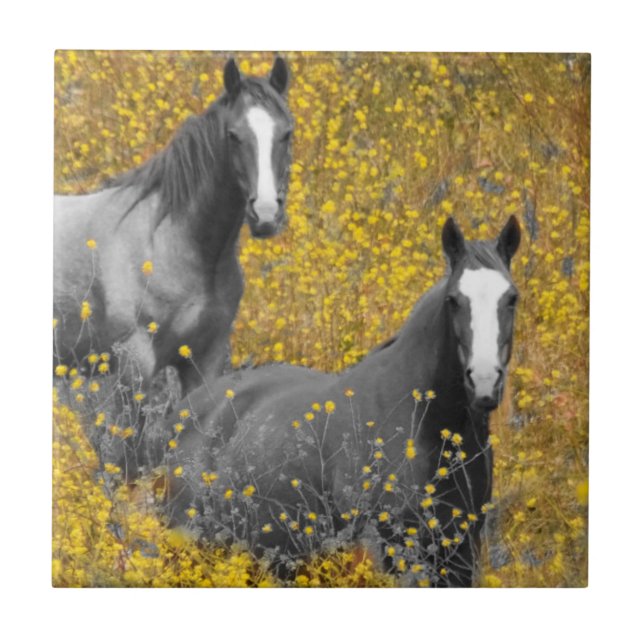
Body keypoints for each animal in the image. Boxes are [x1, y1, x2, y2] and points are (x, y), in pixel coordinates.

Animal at [53, 57, 294, 479]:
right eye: (233, 135)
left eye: (286, 134)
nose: (266, 214)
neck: (170, 241)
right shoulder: (134, 364)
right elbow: (129, 458)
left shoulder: (203, 360)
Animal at [152, 216, 521, 587]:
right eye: (453, 300)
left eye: (512, 298)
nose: (484, 381)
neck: (422, 421)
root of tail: (184, 413)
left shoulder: (460, 553)